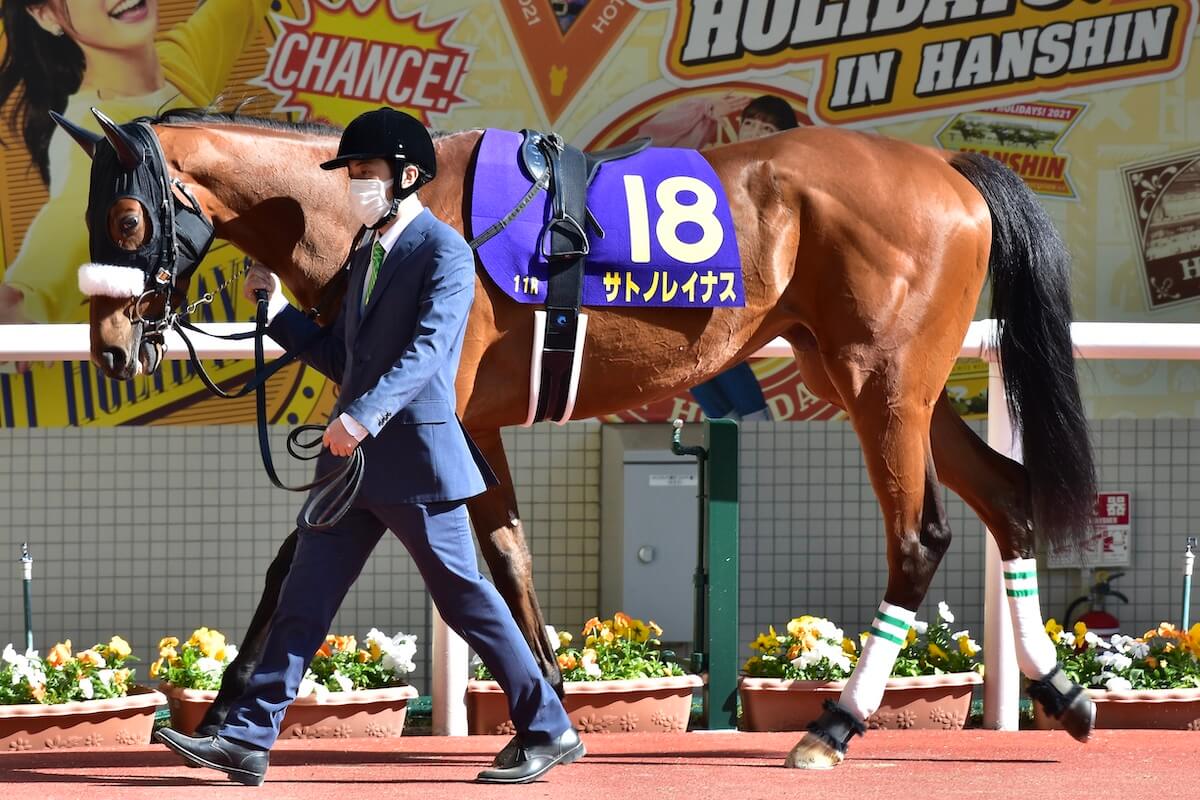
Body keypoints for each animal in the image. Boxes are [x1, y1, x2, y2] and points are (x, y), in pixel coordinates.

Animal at [65, 109, 1099, 767]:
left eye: (127, 216)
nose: (112, 350)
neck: (378, 215)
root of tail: (948, 168)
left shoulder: (417, 402)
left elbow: (311, 551)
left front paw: (227, 705)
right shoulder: (470, 423)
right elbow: (503, 557)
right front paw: (550, 709)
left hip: (880, 383)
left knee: (921, 536)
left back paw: (834, 726)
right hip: (901, 384)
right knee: (1005, 495)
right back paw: (1062, 692)